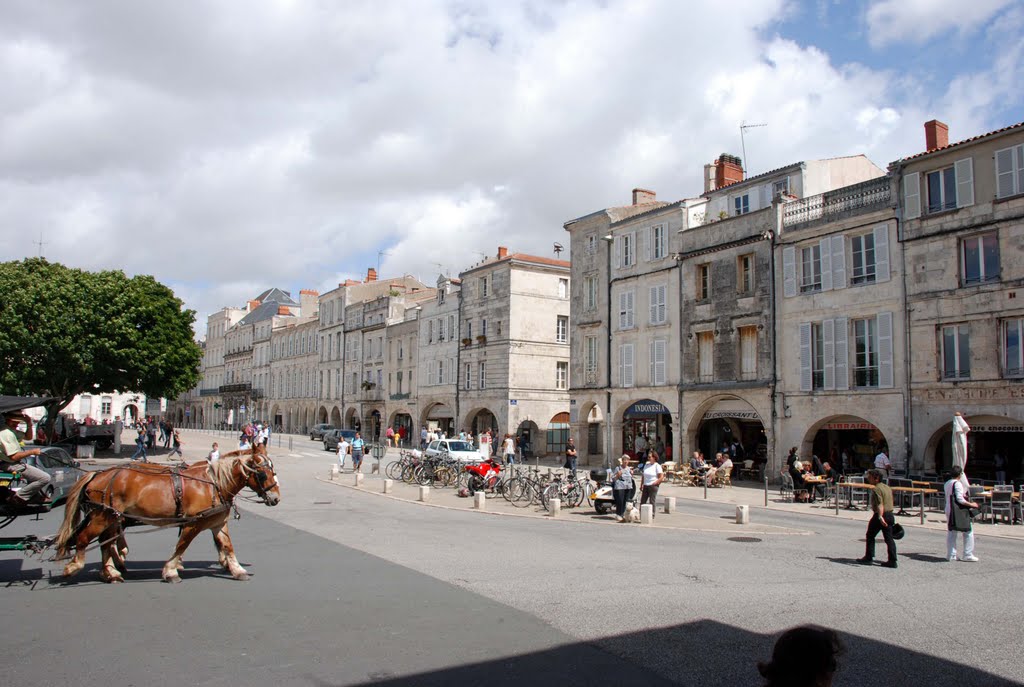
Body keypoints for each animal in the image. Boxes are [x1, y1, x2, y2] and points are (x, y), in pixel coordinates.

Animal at [54, 444, 280, 581]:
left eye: (273, 469)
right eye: (262, 473)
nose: (276, 498)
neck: (214, 483)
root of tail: (98, 474)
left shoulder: (217, 523)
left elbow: (227, 545)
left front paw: (237, 569)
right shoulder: (193, 523)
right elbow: (181, 545)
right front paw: (171, 570)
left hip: (110, 517)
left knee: (106, 542)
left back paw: (112, 572)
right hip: (104, 516)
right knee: (87, 538)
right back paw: (76, 567)